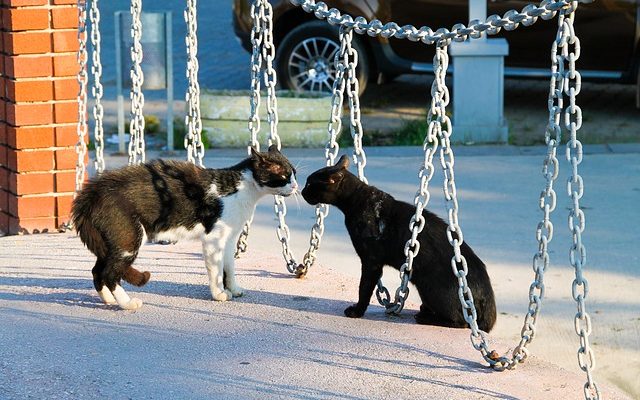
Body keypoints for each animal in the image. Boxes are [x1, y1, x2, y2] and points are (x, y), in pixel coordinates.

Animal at [72, 145, 298, 310]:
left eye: (294, 173)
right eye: (284, 176)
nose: (296, 186)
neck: (243, 190)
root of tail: (90, 194)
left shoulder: (230, 238)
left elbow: (230, 267)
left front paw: (234, 289)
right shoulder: (214, 239)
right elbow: (217, 271)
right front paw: (220, 294)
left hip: (112, 243)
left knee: (98, 270)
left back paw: (108, 300)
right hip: (128, 240)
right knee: (110, 273)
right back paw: (127, 303)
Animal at [302, 155, 498, 330]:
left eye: (310, 184)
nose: (302, 191)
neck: (358, 200)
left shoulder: (371, 261)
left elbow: (364, 288)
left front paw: (357, 311)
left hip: (429, 287)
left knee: (462, 322)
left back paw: (425, 318)